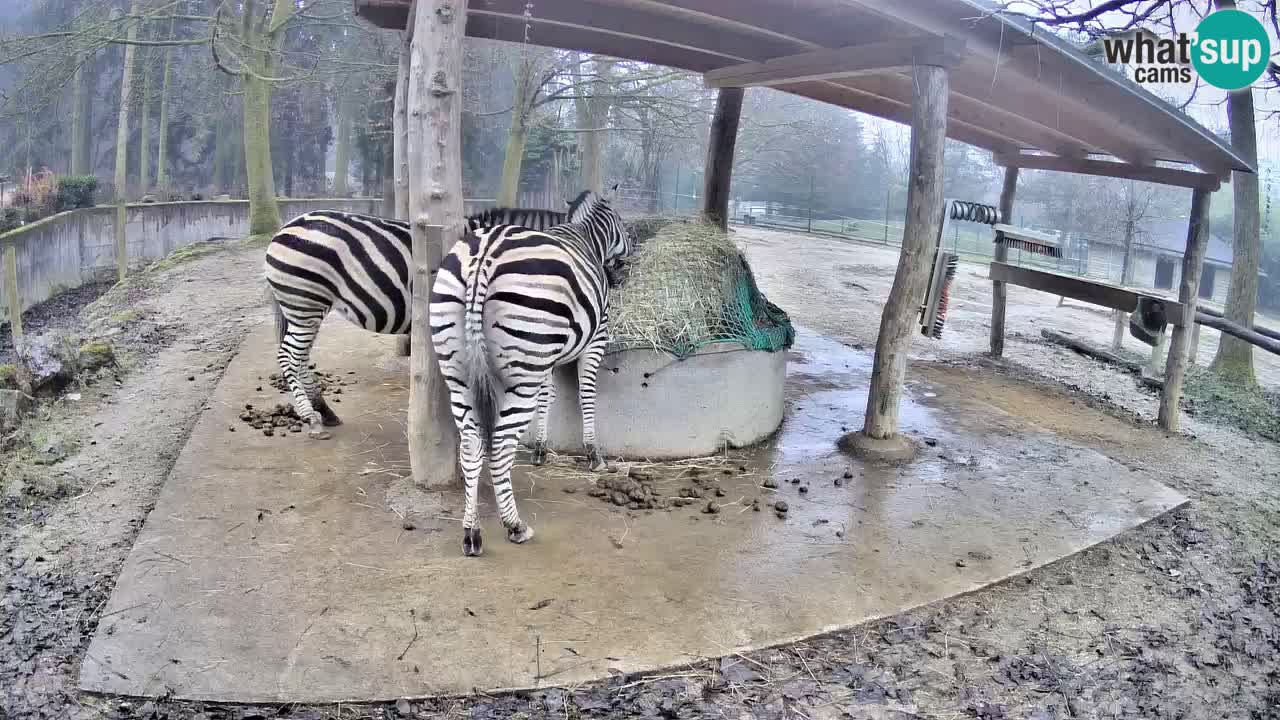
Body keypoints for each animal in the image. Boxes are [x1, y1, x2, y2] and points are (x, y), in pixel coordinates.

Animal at [262, 205, 575, 440]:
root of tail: (285, 228)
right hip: (305, 302)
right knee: (288, 356)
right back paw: (311, 419)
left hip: (306, 308)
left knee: (301, 357)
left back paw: (325, 412)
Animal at [428, 187, 633, 556]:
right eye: (623, 224)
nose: (626, 267)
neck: (585, 237)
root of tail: (484, 256)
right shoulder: (595, 339)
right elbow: (586, 395)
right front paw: (593, 454)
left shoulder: (546, 357)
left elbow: (547, 396)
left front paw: (540, 447)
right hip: (519, 375)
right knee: (499, 448)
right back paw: (514, 526)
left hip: (460, 373)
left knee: (470, 447)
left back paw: (471, 533)